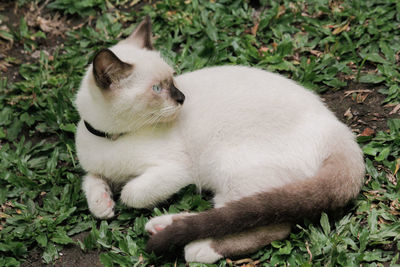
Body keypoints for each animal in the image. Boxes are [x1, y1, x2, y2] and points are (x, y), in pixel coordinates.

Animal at [75, 16, 366, 264]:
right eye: (157, 89)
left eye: (172, 81)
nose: (182, 98)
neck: (112, 138)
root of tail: (338, 129)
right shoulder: (95, 166)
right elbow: (92, 180)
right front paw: (102, 204)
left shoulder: (175, 170)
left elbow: (130, 193)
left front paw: (118, 197)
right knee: (232, 211)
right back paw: (164, 226)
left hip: (224, 162)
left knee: (265, 222)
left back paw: (197, 247)